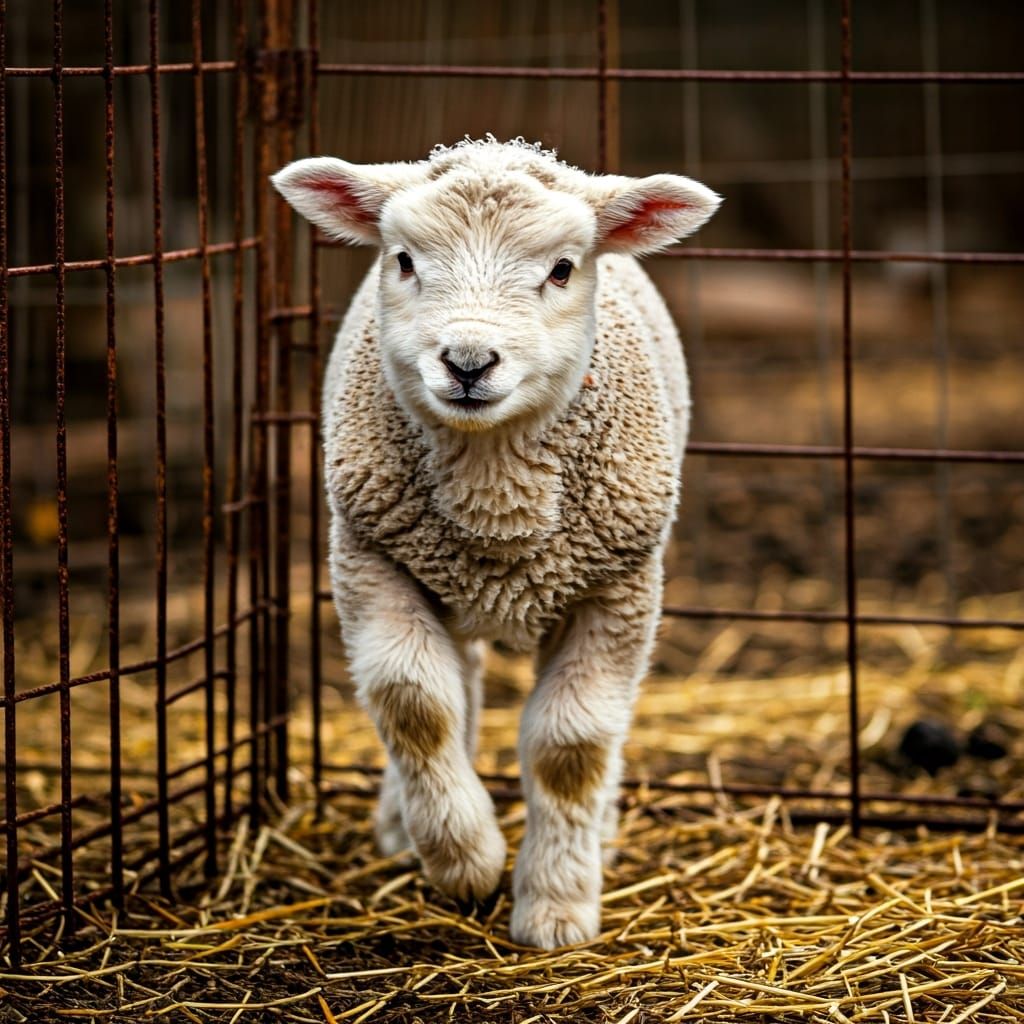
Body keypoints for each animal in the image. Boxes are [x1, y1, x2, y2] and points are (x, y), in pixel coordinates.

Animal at [272, 137, 720, 949]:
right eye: (404, 259)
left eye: (563, 269)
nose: (469, 362)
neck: (495, 505)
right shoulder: (370, 560)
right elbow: (416, 705)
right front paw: (465, 860)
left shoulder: (619, 590)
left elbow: (572, 747)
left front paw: (556, 909)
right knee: (462, 688)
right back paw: (406, 827)